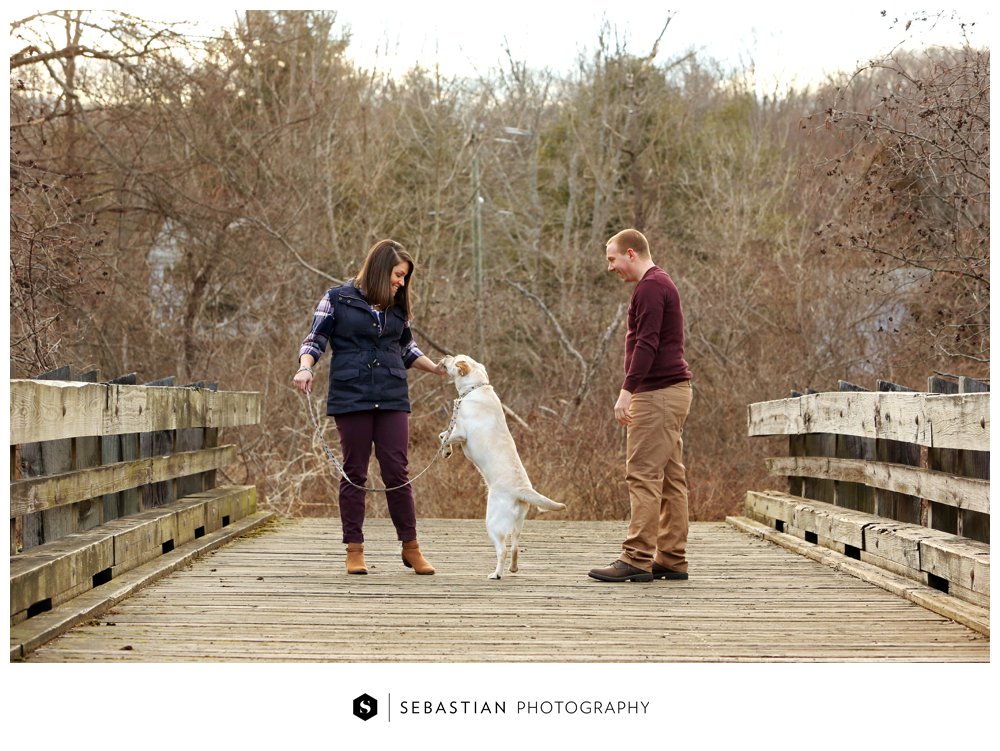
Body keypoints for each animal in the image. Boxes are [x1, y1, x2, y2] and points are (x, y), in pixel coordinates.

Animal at [440, 356, 568, 580]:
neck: (476, 387)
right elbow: (442, 435)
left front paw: (445, 449)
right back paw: (513, 568)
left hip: (492, 523)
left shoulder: (460, 432)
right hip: (518, 524)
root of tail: (522, 490)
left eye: (454, 358)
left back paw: (496, 574)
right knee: (515, 547)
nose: (445, 357)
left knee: (503, 550)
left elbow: (446, 435)